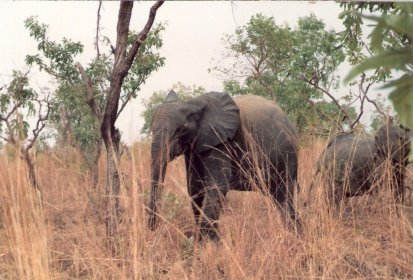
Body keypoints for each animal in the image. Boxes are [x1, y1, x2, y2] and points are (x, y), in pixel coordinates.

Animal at [148, 91, 300, 240]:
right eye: (151, 129)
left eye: (181, 129)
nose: (154, 230)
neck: (193, 105)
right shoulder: (194, 148)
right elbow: (195, 187)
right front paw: (212, 241)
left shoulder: (221, 141)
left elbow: (217, 185)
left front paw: (206, 243)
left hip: (287, 153)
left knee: (283, 194)